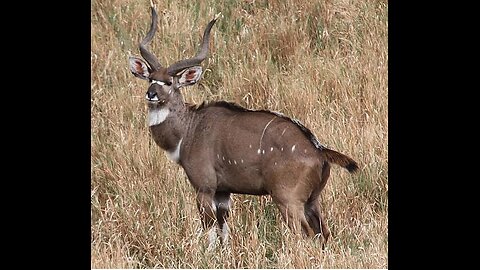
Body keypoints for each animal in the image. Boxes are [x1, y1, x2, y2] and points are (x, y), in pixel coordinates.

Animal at [129, 6, 358, 248]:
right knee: (323, 233)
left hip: (288, 200)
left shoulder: (204, 187)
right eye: (150, 78)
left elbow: (210, 232)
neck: (189, 129)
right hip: (312, 200)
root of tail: (319, 151)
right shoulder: (223, 192)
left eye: (169, 82)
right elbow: (224, 231)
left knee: (302, 234)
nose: (151, 94)